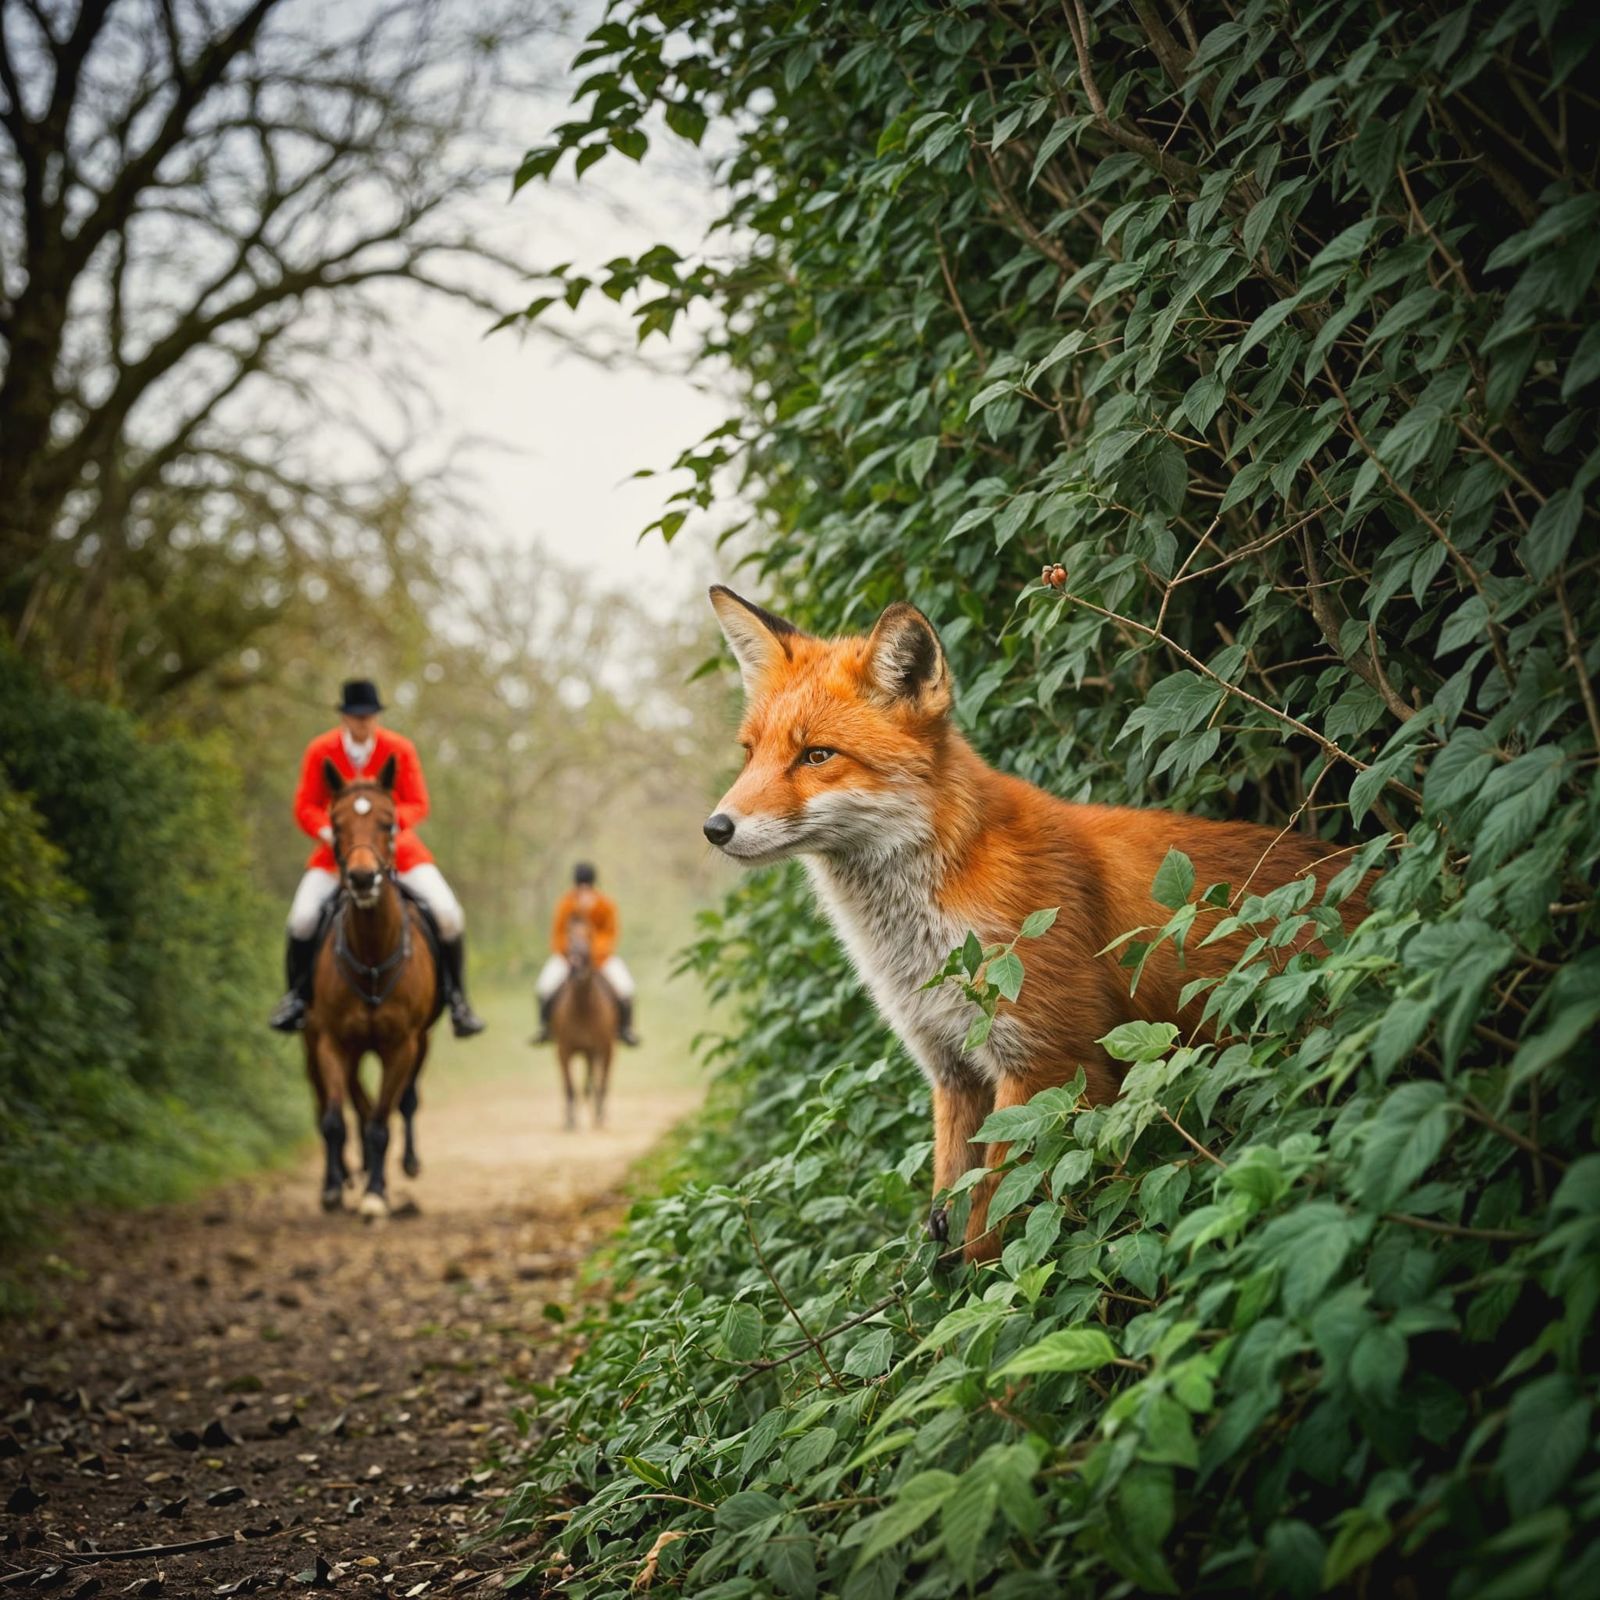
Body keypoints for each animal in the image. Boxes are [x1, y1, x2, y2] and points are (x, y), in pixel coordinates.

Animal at [701, 585, 1370, 1264]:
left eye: (817, 755)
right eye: (751, 753)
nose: (715, 828)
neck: (916, 938)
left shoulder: (1048, 1064)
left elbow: (993, 1237)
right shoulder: (953, 1071)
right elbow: (952, 1205)